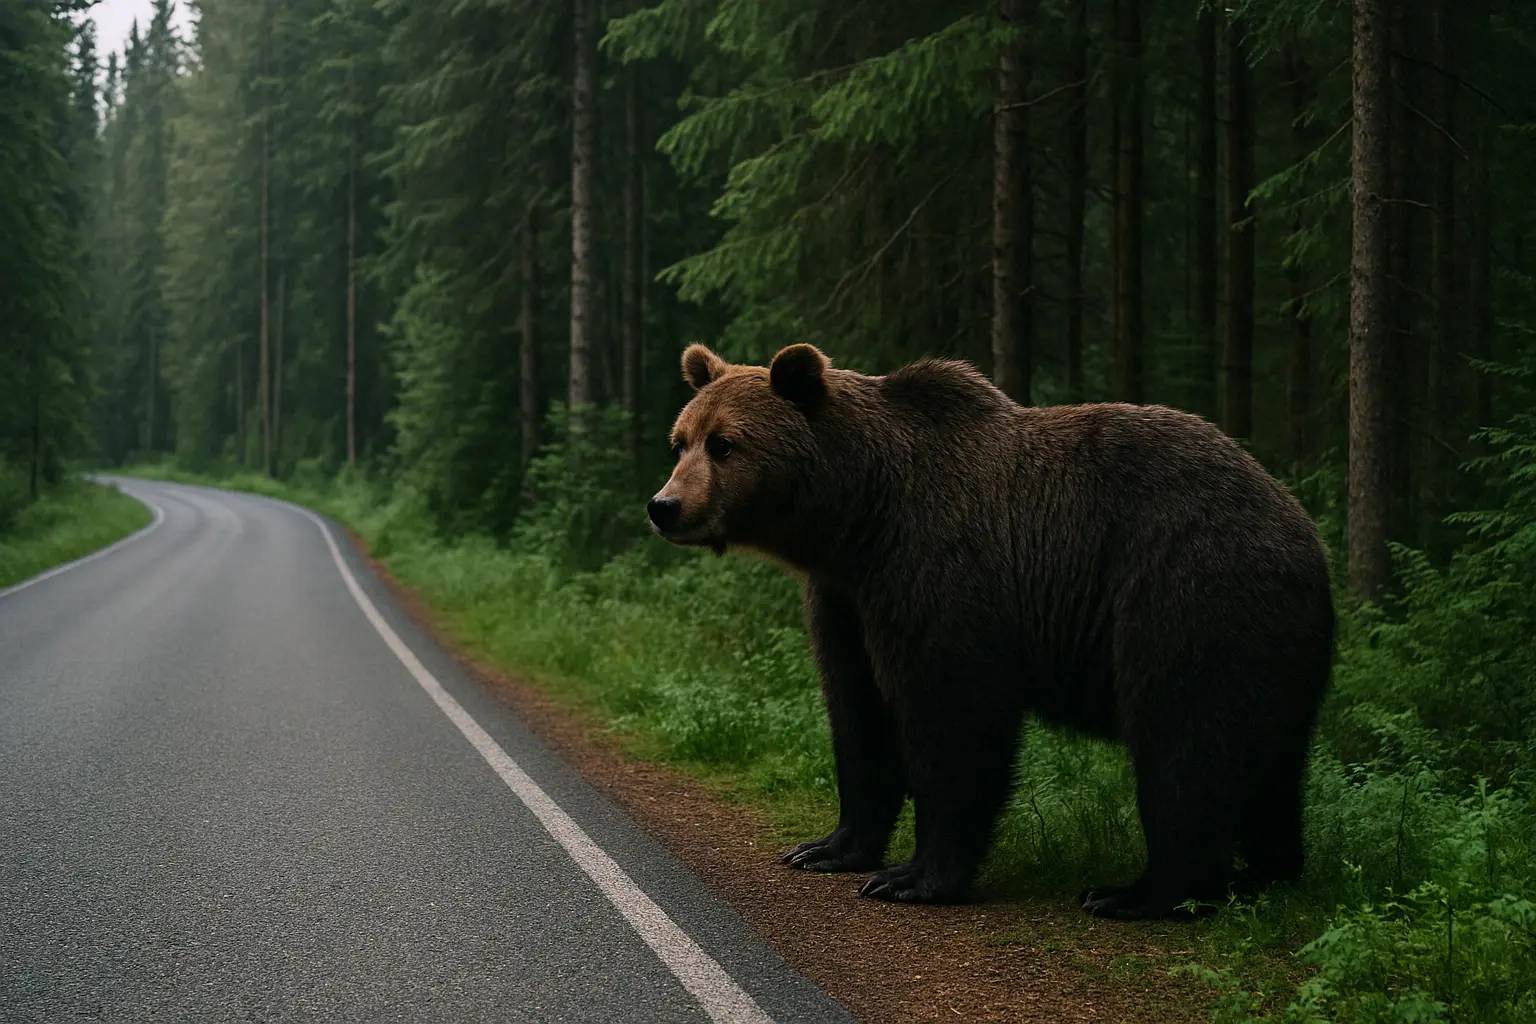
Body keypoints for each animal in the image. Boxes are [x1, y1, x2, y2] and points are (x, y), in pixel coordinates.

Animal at [647, 343, 1334, 920]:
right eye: (681, 440)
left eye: (725, 444)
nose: (665, 506)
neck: (860, 517)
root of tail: (1306, 534)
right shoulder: (845, 600)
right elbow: (859, 714)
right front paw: (825, 848)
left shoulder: (942, 575)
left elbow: (954, 720)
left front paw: (911, 877)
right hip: (1272, 645)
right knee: (1269, 765)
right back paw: (1264, 871)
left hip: (1189, 596)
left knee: (1186, 742)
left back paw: (1137, 892)